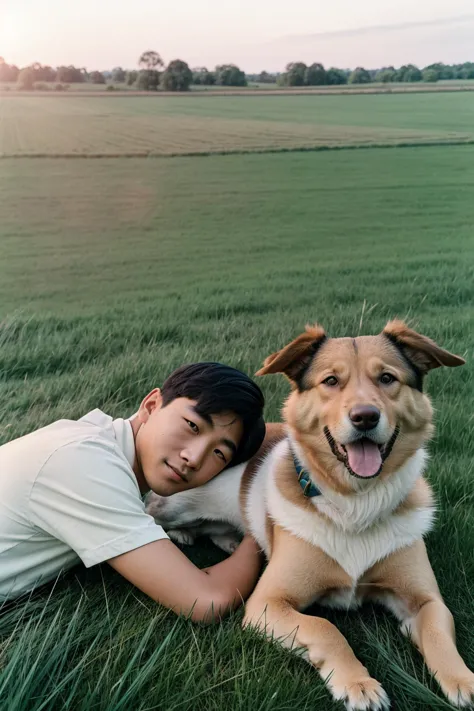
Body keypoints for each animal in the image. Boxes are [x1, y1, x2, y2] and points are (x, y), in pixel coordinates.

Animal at [146, 324, 472, 711]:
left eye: (387, 378)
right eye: (330, 380)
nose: (365, 416)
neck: (355, 502)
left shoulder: (424, 600)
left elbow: (438, 628)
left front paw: (464, 680)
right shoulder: (267, 604)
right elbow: (324, 628)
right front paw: (358, 682)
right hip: (176, 495)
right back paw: (182, 534)